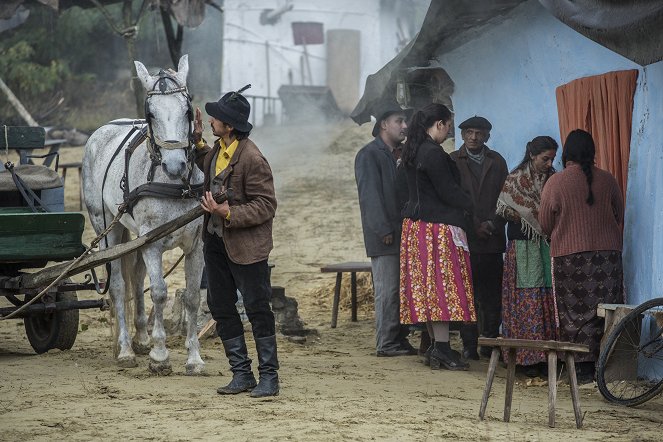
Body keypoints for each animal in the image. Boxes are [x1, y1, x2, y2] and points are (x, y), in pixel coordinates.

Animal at [84, 54, 206, 372]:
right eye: (150, 114)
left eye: (187, 110)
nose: (175, 165)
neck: (175, 185)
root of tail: (102, 130)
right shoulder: (152, 243)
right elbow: (160, 292)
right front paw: (160, 355)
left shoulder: (195, 245)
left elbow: (191, 296)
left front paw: (194, 358)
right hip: (107, 228)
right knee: (117, 285)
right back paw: (126, 349)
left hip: (135, 236)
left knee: (137, 279)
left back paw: (140, 339)